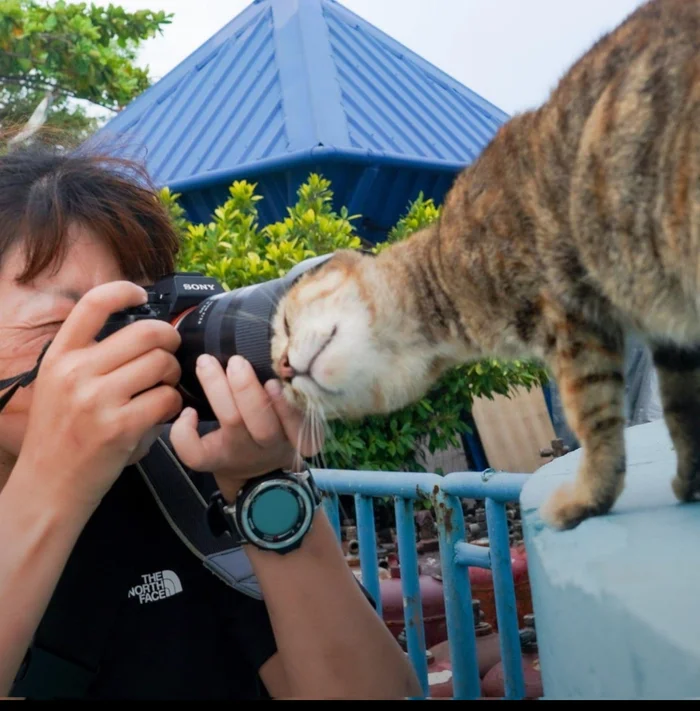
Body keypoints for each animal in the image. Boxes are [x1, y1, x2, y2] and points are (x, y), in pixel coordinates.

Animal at [268, 0, 700, 532]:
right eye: (288, 394)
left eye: (287, 325)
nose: (285, 370)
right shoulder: (664, 335)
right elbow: (682, 406)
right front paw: (689, 479)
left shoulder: (573, 319)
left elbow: (595, 421)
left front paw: (588, 498)